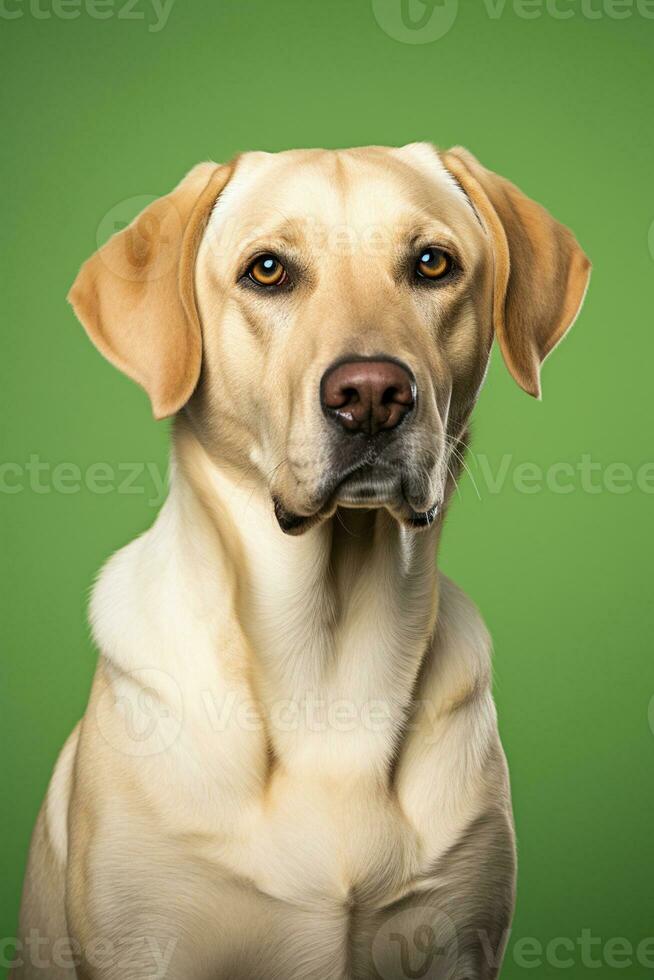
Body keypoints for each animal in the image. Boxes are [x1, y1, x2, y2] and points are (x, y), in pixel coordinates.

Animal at [15, 142, 592, 976]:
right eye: (267, 270)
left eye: (432, 263)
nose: (372, 394)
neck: (330, 662)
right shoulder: (147, 945)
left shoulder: (459, 942)